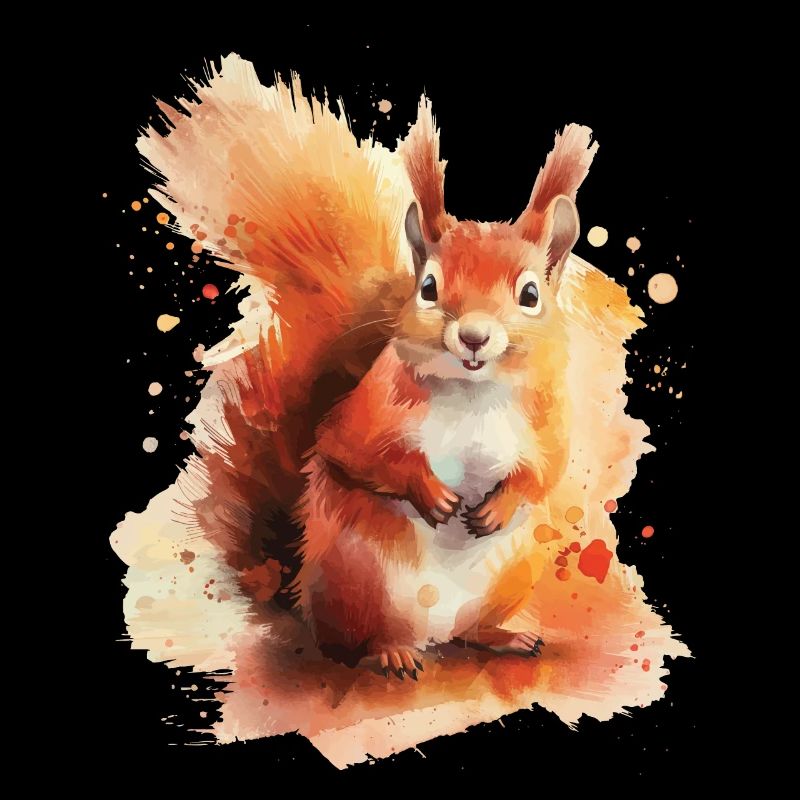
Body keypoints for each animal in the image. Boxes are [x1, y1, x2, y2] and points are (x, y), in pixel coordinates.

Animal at [134, 54, 605, 679]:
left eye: (531, 295)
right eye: (428, 288)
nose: (474, 336)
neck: (474, 391)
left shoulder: (546, 420)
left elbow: (545, 472)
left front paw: (500, 504)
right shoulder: (371, 408)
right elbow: (349, 450)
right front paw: (429, 492)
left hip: (512, 571)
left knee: (470, 631)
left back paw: (503, 636)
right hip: (360, 580)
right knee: (350, 644)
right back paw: (391, 652)